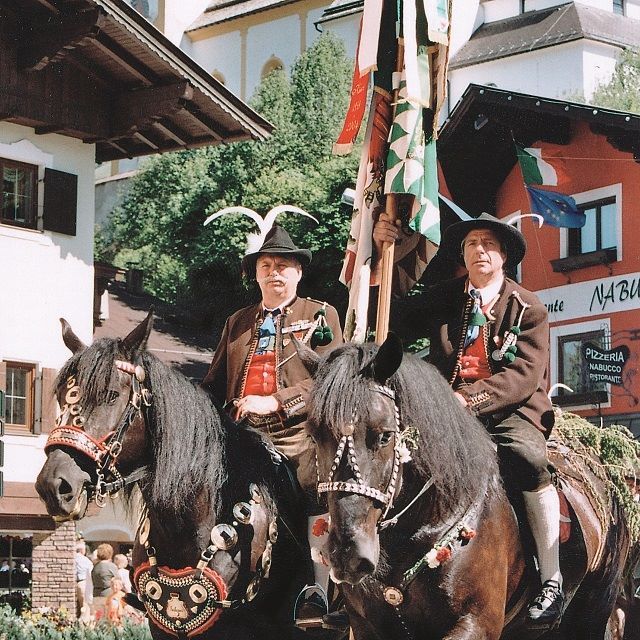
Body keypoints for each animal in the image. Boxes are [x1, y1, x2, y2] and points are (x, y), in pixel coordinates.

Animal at [298, 338, 628, 636]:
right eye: (314, 435)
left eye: (384, 436)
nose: (347, 554)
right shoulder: (366, 625)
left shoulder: (476, 622)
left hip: (595, 608)